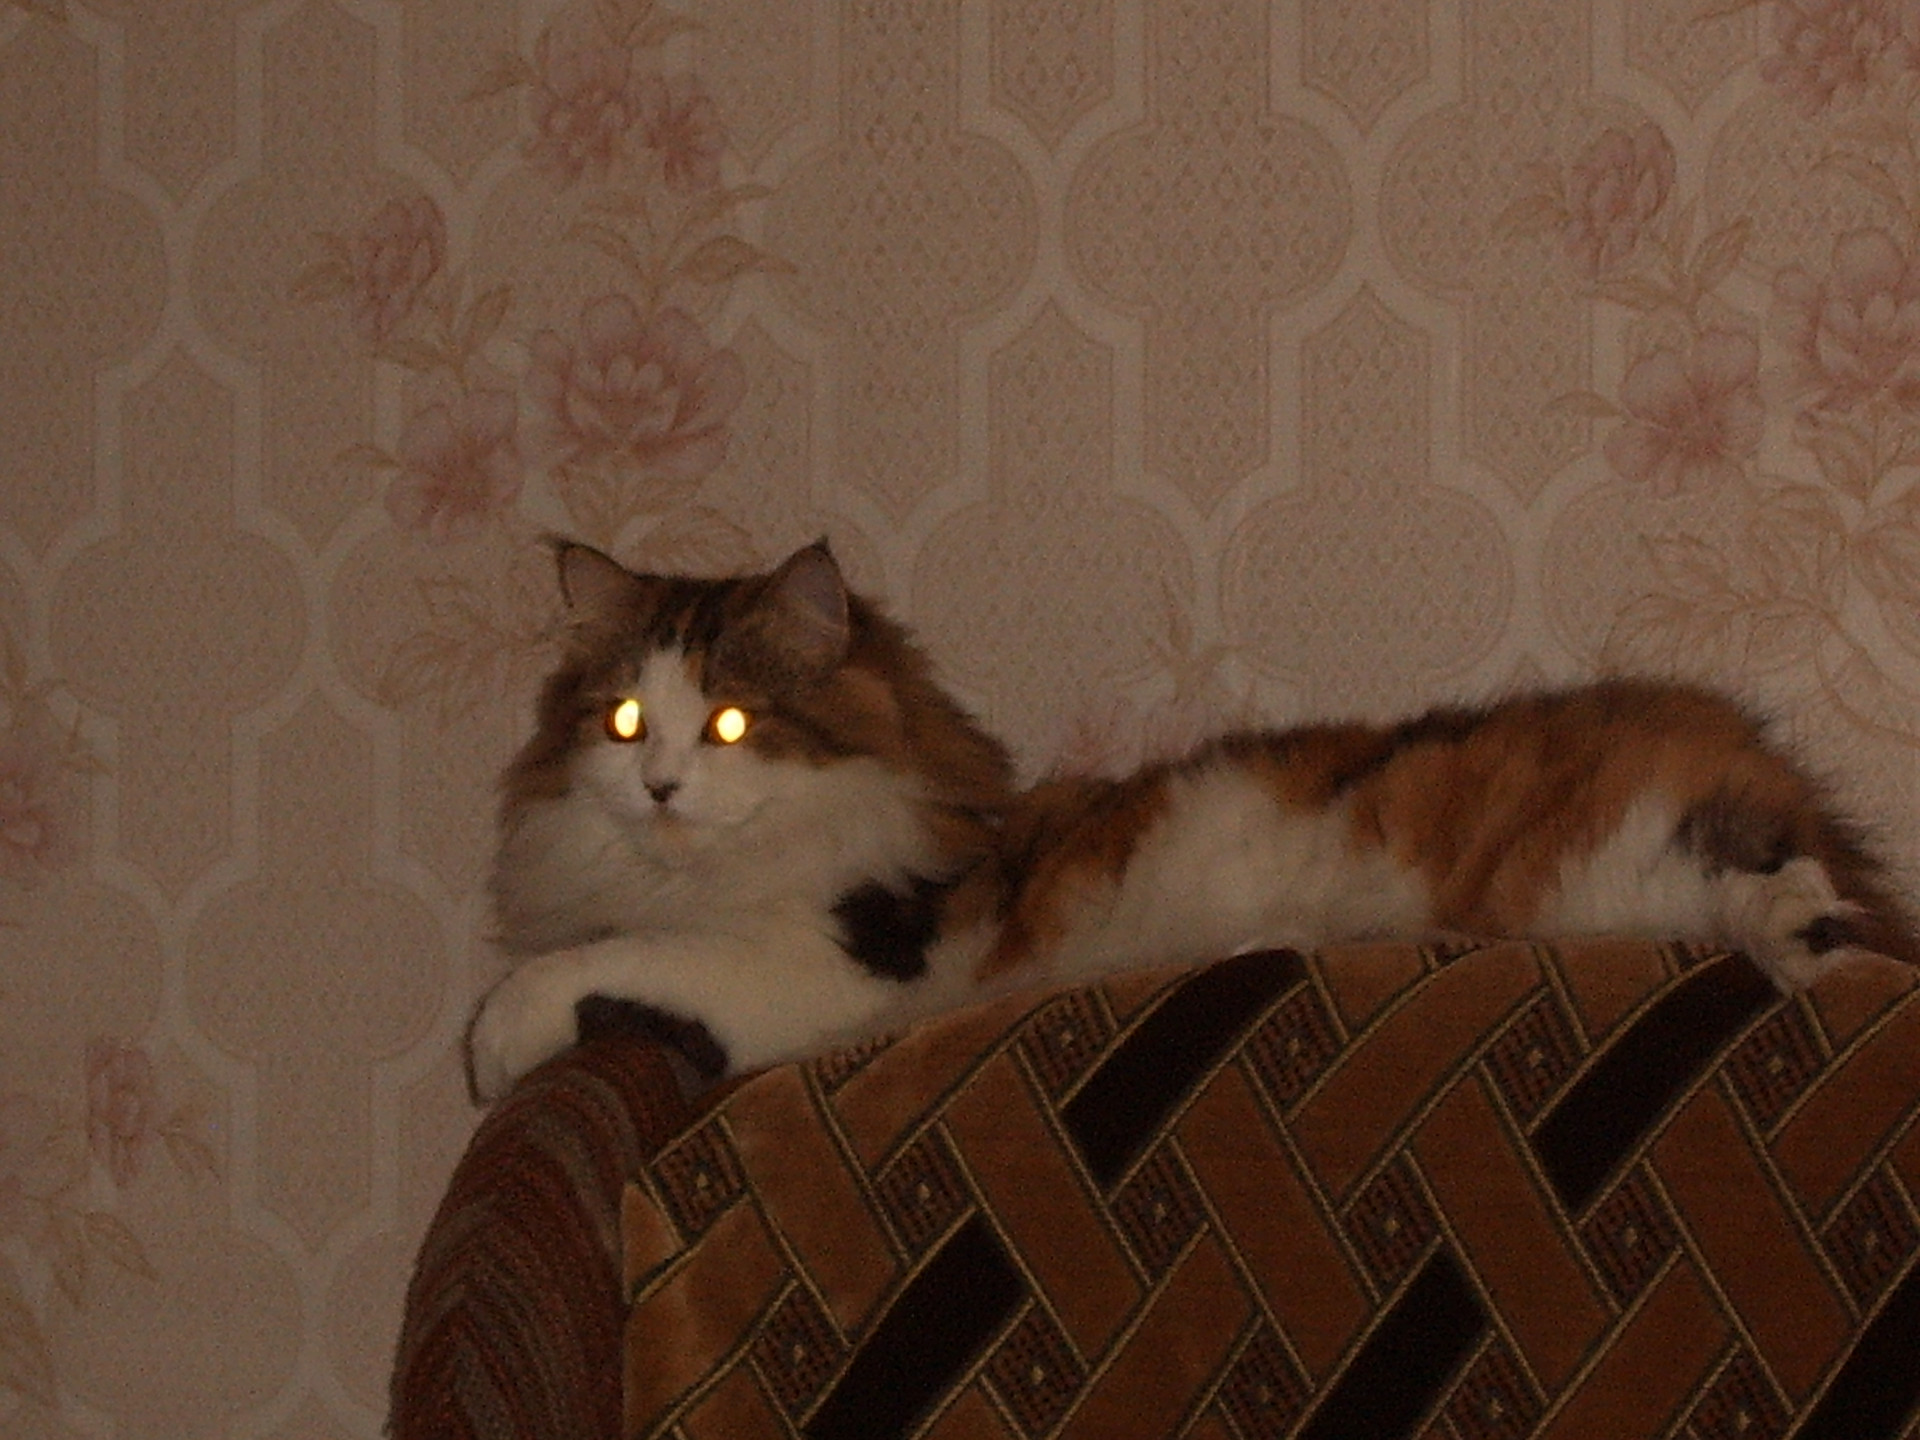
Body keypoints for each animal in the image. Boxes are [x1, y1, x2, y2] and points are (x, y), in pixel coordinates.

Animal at [465, 538, 1920, 1102]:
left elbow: (585, 969)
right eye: (623, 723)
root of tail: (1713, 717)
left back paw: (1806, 947)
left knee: (1786, 883)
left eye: (727, 726)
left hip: (1622, 853)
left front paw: (492, 1045)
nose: (658, 787)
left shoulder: (827, 961)